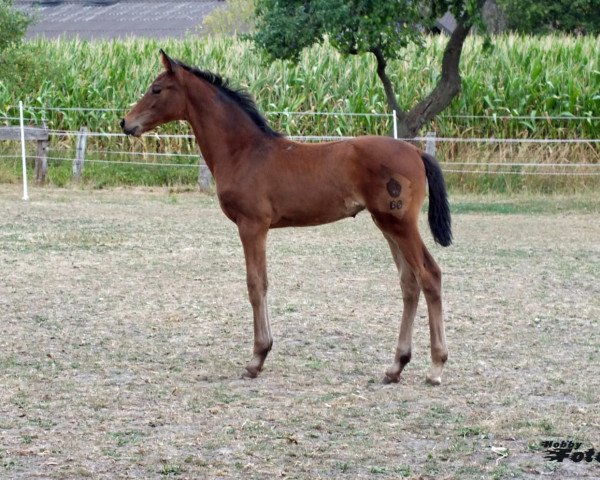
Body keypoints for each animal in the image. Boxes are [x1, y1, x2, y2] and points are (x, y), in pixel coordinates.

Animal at [119, 49, 452, 386]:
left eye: (156, 89)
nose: (125, 122)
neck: (244, 152)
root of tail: (416, 153)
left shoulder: (252, 226)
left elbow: (256, 285)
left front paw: (256, 358)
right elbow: (262, 283)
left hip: (400, 224)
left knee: (429, 275)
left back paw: (436, 368)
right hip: (385, 224)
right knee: (409, 282)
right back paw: (396, 366)